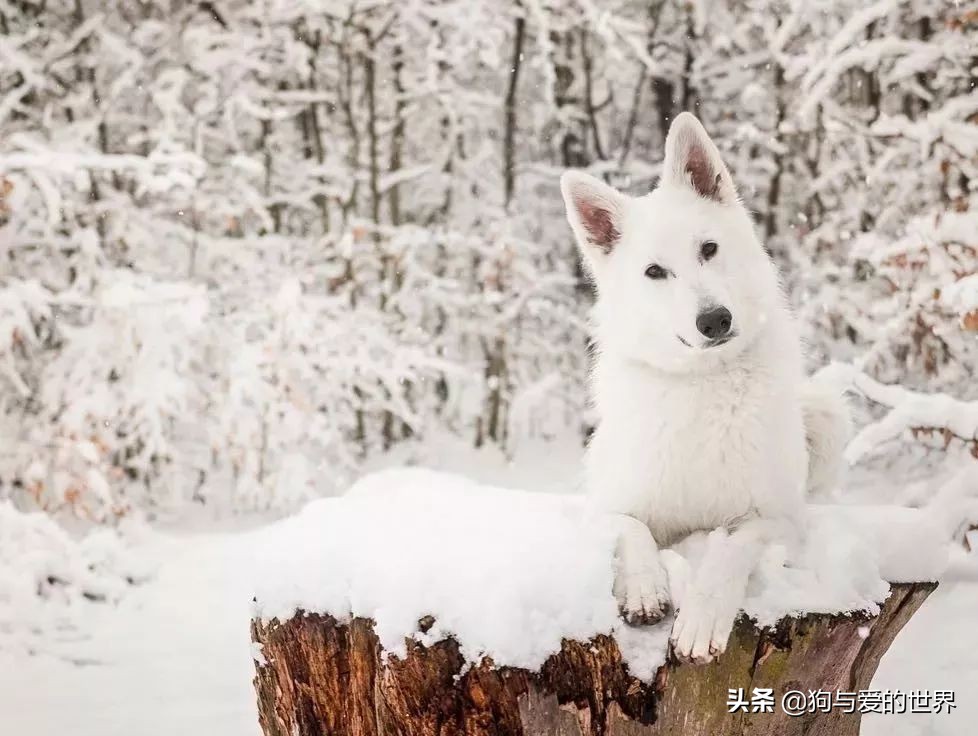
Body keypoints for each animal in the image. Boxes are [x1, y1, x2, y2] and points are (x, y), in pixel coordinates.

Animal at [560, 112, 852, 664]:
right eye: (655, 271)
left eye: (709, 249)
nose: (715, 320)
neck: (703, 382)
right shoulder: (602, 509)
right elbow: (632, 527)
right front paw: (646, 589)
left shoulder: (780, 520)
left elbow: (732, 547)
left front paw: (701, 619)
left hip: (823, 414)